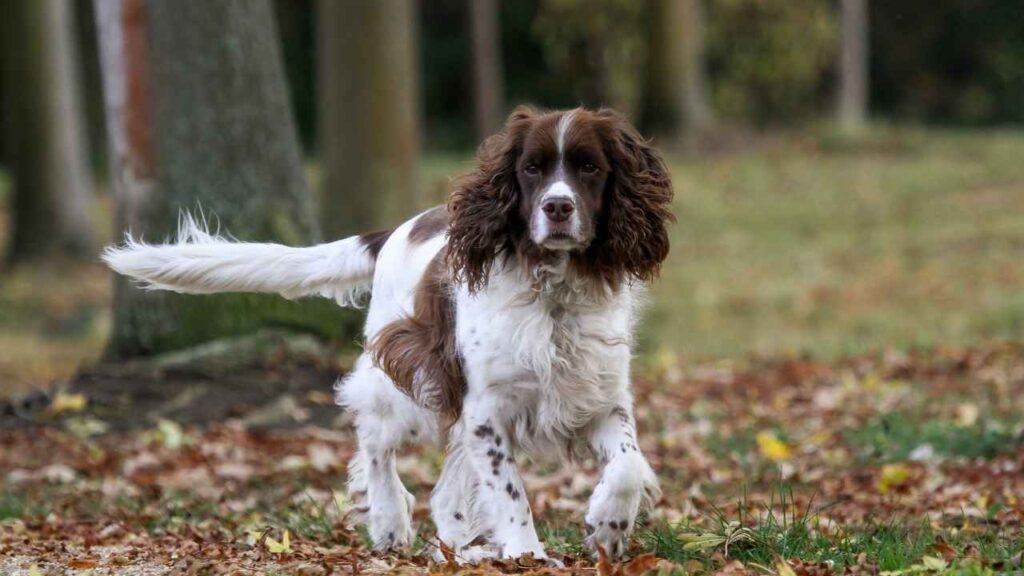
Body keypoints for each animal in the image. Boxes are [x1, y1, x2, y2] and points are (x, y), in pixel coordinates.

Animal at [103, 106, 675, 561]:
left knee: (444, 493)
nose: (558, 207)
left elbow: (628, 464)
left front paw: (608, 526)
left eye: (589, 167)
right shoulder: (485, 408)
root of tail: (393, 231)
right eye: (531, 168)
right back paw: (389, 521)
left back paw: (460, 549)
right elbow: (510, 491)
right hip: (408, 379)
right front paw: (527, 552)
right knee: (374, 439)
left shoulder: (598, 400)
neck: (553, 296)